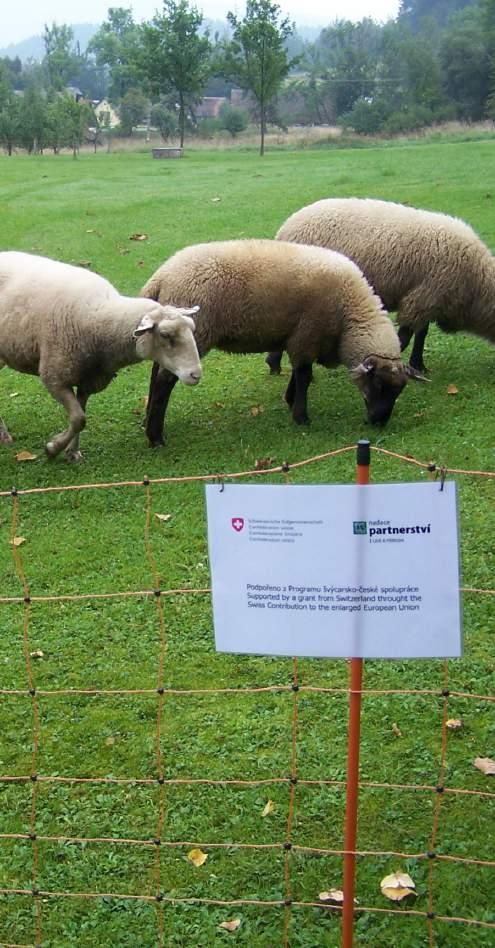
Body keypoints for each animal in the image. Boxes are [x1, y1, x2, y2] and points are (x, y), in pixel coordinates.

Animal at [0, 252, 202, 460]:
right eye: (165, 335)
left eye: (192, 328)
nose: (195, 375)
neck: (100, 321)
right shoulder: (55, 378)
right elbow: (79, 419)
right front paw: (53, 448)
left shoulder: (88, 380)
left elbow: (81, 417)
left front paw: (72, 451)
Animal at [140, 237, 426, 444]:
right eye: (378, 384)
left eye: (399, 390)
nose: (379, 422)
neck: (349, 315)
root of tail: (161, 276)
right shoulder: (308, 333)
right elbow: (303, 374)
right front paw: (301, 416)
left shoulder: (299, 337)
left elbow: (299, 371)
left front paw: (290, 400)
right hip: (192, 334)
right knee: (164, 382)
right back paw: (156, 437)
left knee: (156, 374)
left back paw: (148, 422)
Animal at [270, 197, 495, 374]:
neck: (477, 284)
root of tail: (285, 228)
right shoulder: (425, 295)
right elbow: (405, 337)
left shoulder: (428, 300)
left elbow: (421, 334)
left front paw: (418, 365)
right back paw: (274, 363)